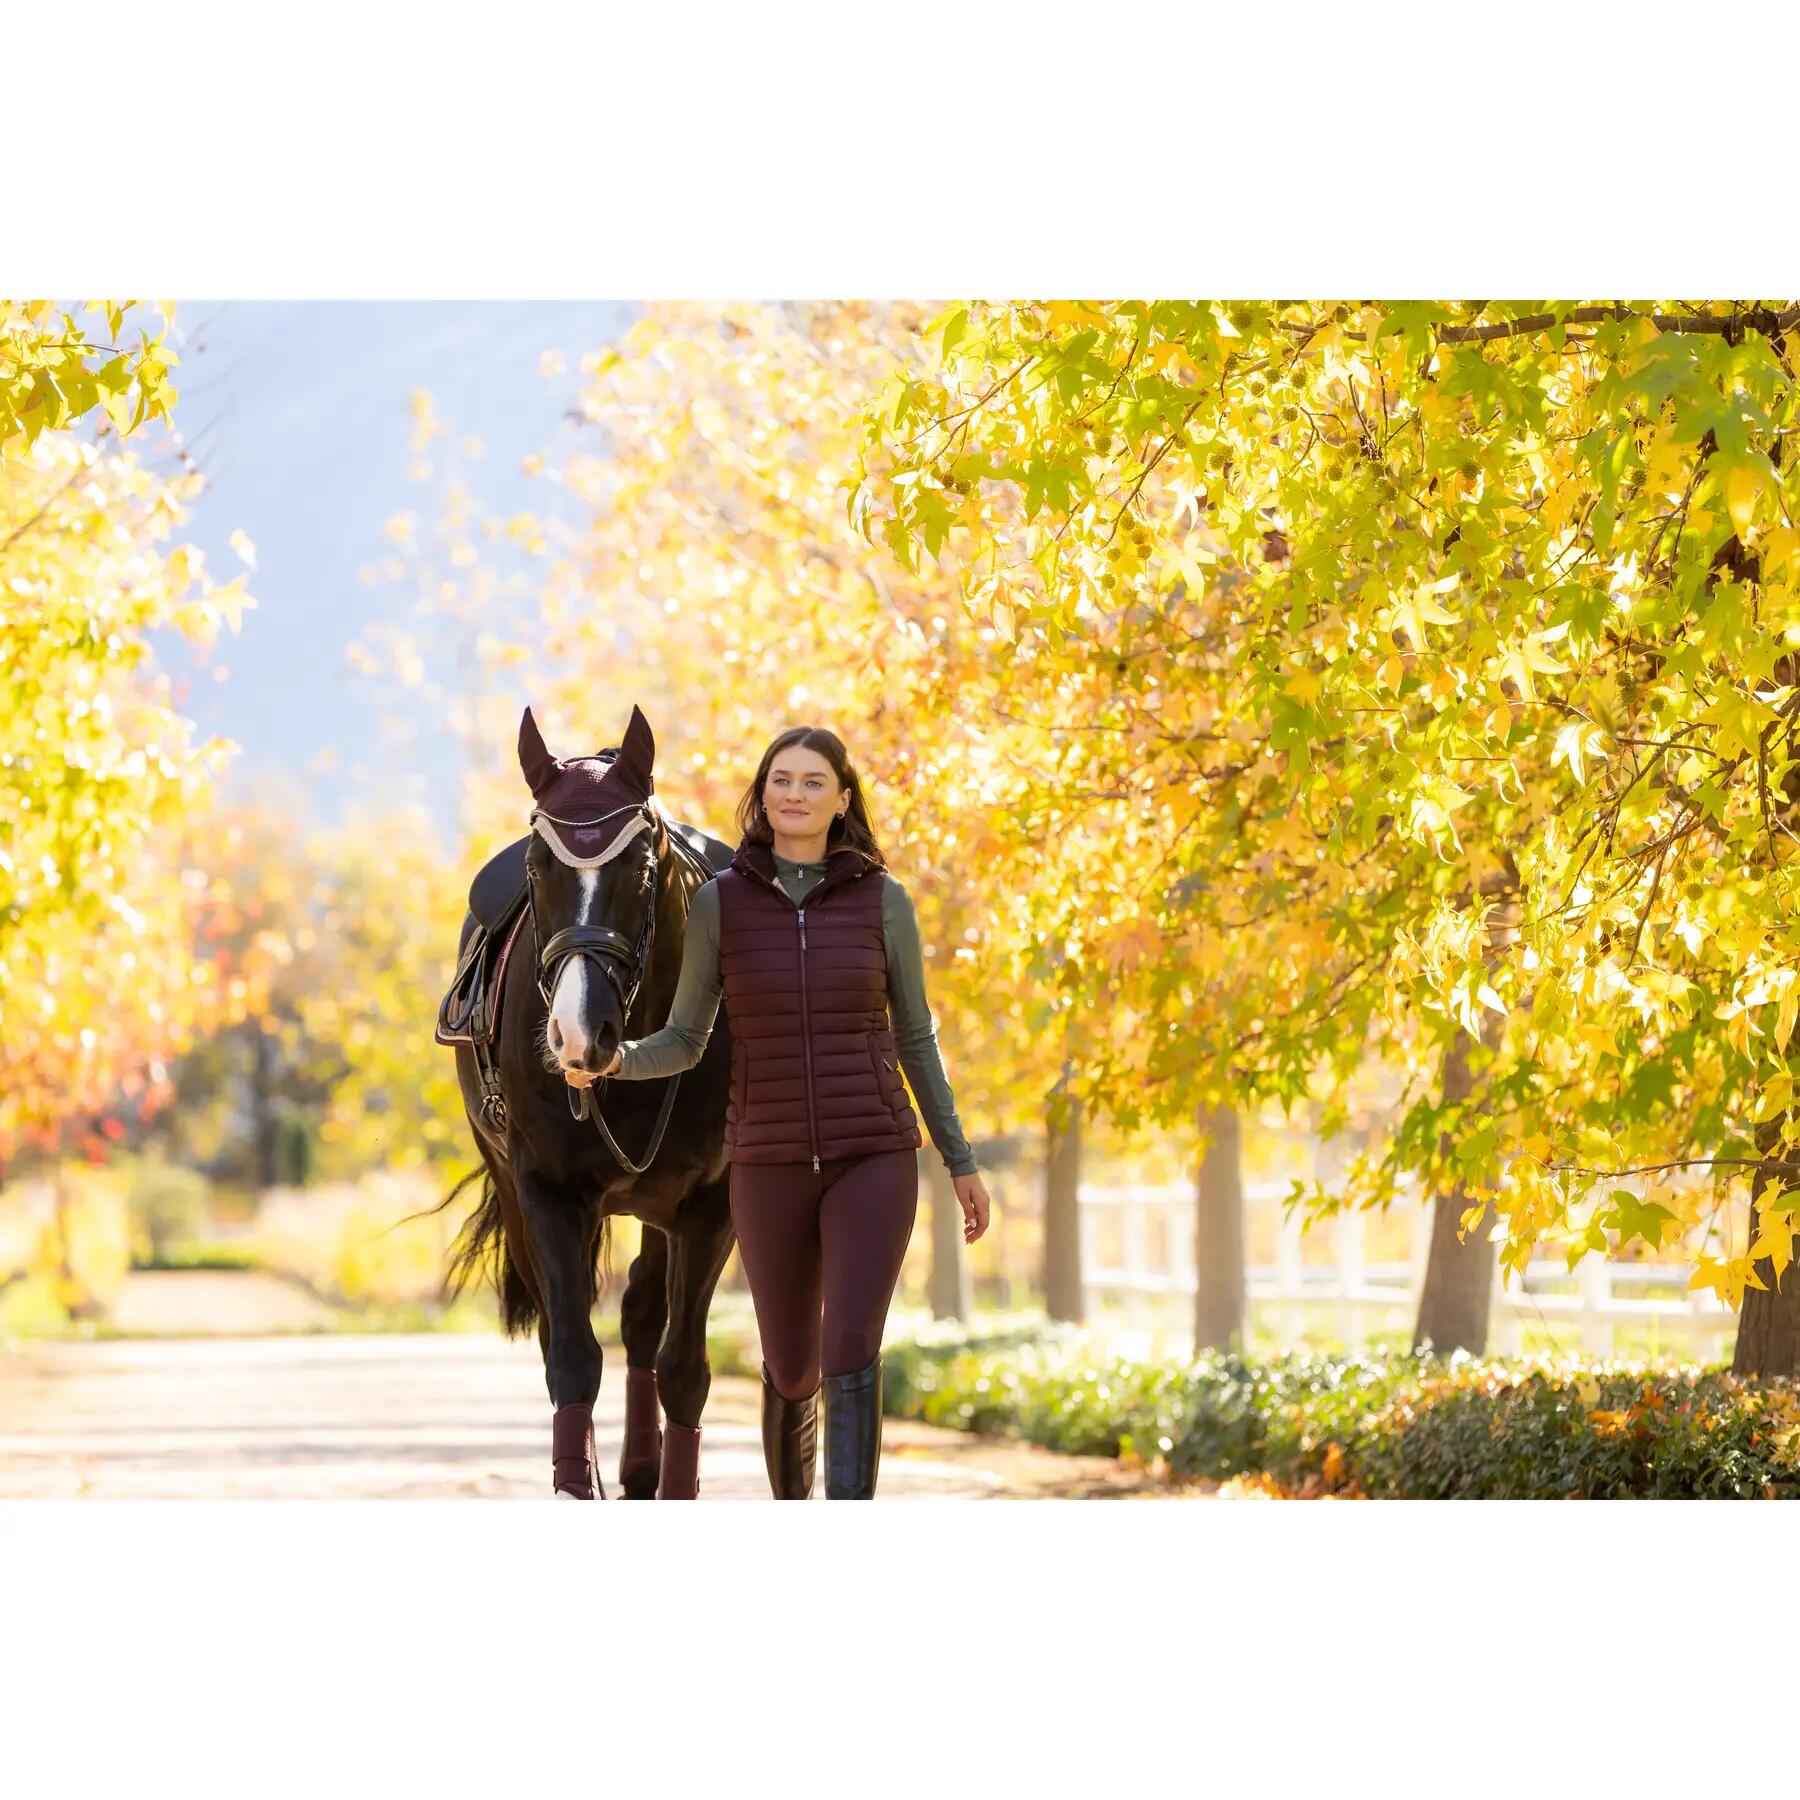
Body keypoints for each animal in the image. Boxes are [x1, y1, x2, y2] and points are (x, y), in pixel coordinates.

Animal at [437, 703, 736, 1498]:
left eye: (640, 865)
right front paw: (579, 1479)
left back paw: (641, 1464)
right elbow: (571, 1353)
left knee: (642, 1315)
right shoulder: (547, 1189)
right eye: (538, 868)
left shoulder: (711, 1204)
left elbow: (683, 1367)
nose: (577, 1032)